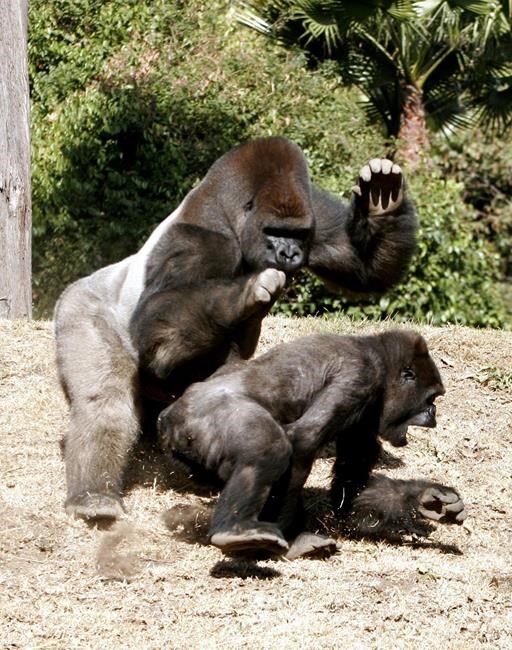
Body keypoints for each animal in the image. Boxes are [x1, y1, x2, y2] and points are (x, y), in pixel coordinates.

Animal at [54, 136, 418, 521]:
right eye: (274, 232)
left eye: (296, 235)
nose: (289, 254)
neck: (232, 217)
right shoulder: (200, 245)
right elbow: (157, 338)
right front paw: (241, 296)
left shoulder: (313, 216)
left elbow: (362, 265)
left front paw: (381, 203)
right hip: (78, 306)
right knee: (104, 397)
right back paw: (94, 498)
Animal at [157, 330, 466, 558]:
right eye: (431, 398)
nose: (434, 414)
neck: (376, 353)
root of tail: (167, 420)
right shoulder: (360, 375)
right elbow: (304, 440)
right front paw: (291, 537)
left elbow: (353, 474)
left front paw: (425, 498)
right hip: (198, 419)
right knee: (270, 447)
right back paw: (235, 530)